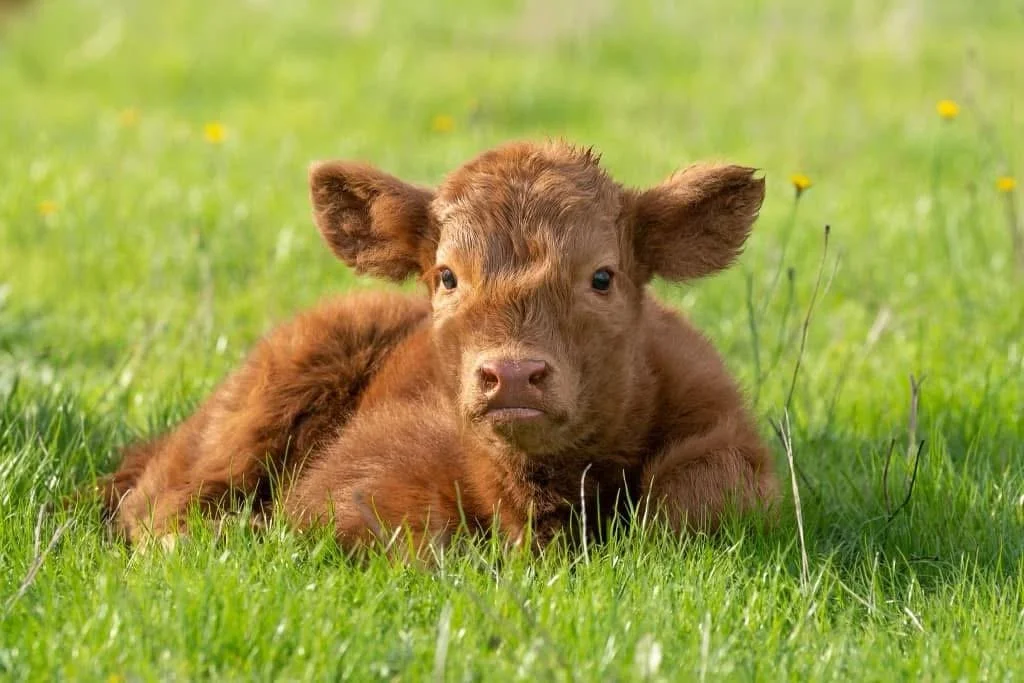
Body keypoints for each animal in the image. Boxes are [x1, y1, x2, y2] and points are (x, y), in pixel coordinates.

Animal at [96, 140, 779, 556]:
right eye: (448, 276)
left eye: (602, 277)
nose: (512, 373)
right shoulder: (363, 472)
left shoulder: (733, 446)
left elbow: (691, 499)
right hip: (258, 404)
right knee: (161, 508)